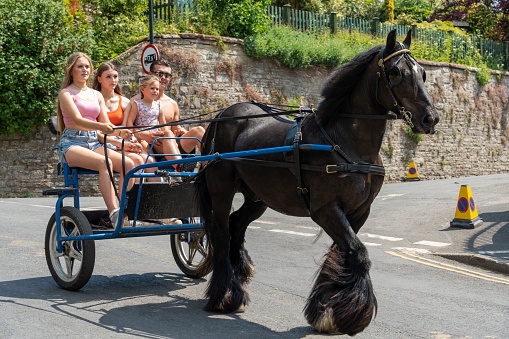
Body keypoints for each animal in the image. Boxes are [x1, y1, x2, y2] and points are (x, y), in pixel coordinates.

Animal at [193, 30, 436, 336]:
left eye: (423, 73)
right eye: (394, 72)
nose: (430, 118)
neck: (345, 141)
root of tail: (222, 114)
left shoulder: (359, 211)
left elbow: (342, 254)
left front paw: (327, 309)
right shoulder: (325, 209)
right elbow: (358, 253)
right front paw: (345, 313)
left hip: (259, 197)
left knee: (236, 225)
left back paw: (237, 280)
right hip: (222, 189)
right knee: (221, 233)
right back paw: (225, 295)